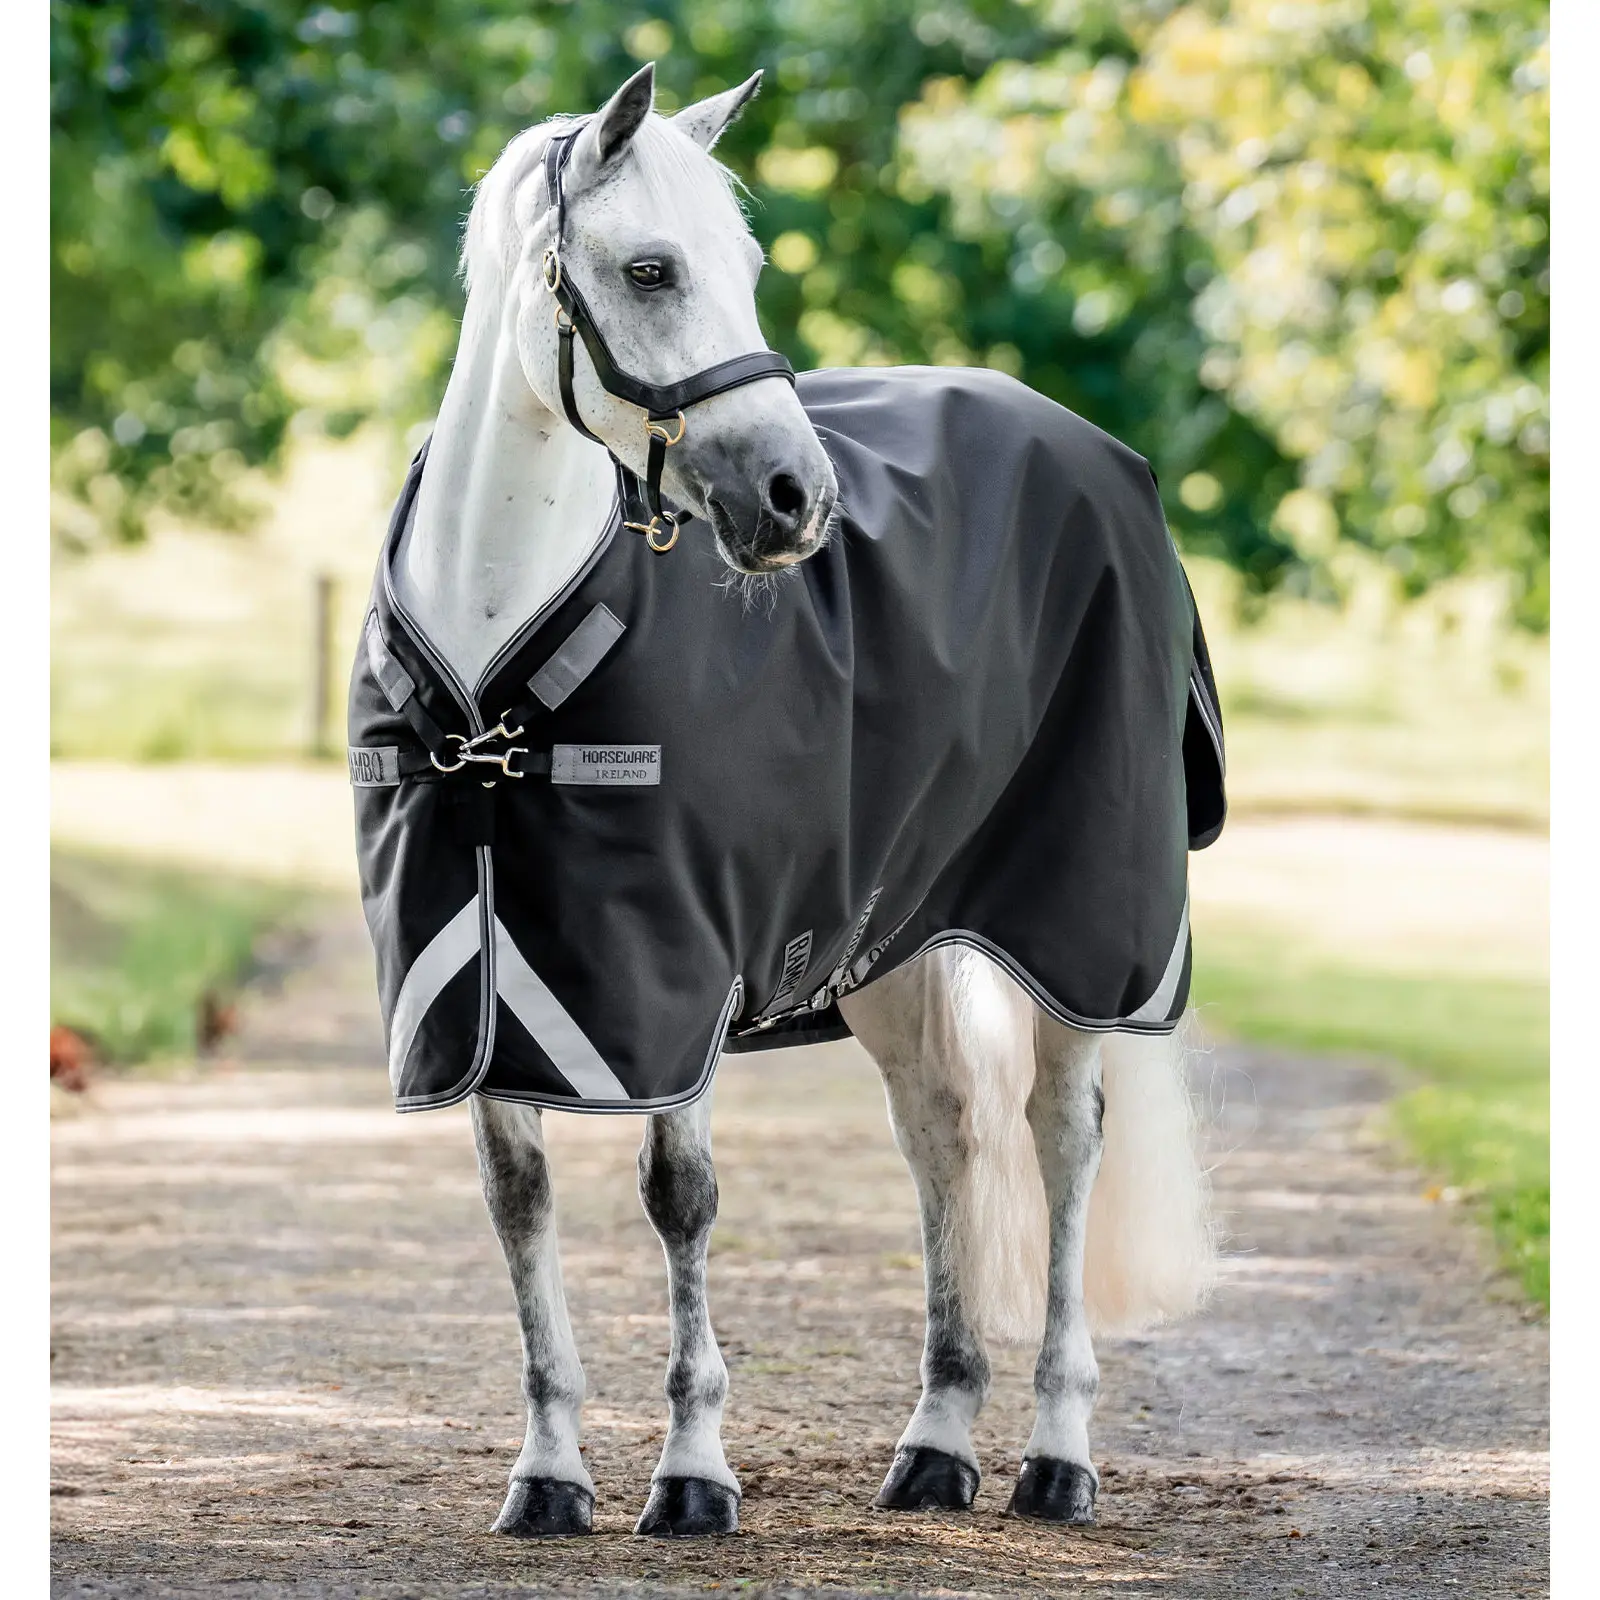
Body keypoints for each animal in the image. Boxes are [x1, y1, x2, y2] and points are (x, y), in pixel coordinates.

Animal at [362, 62, 1217, 1540]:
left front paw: (694, 1472)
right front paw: (549, 1473)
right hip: (900, 945)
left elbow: (679, 1197)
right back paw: (935, 1446)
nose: (794, 500)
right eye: (649, 268)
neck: (497, 668)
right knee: (942, 1137)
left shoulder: (678, 980)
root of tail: (1106, 457)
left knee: (1058, 1141)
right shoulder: (483, 998)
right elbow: (518, 1201)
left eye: (749, 266)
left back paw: (1056, 1456)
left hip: (1077, 935)